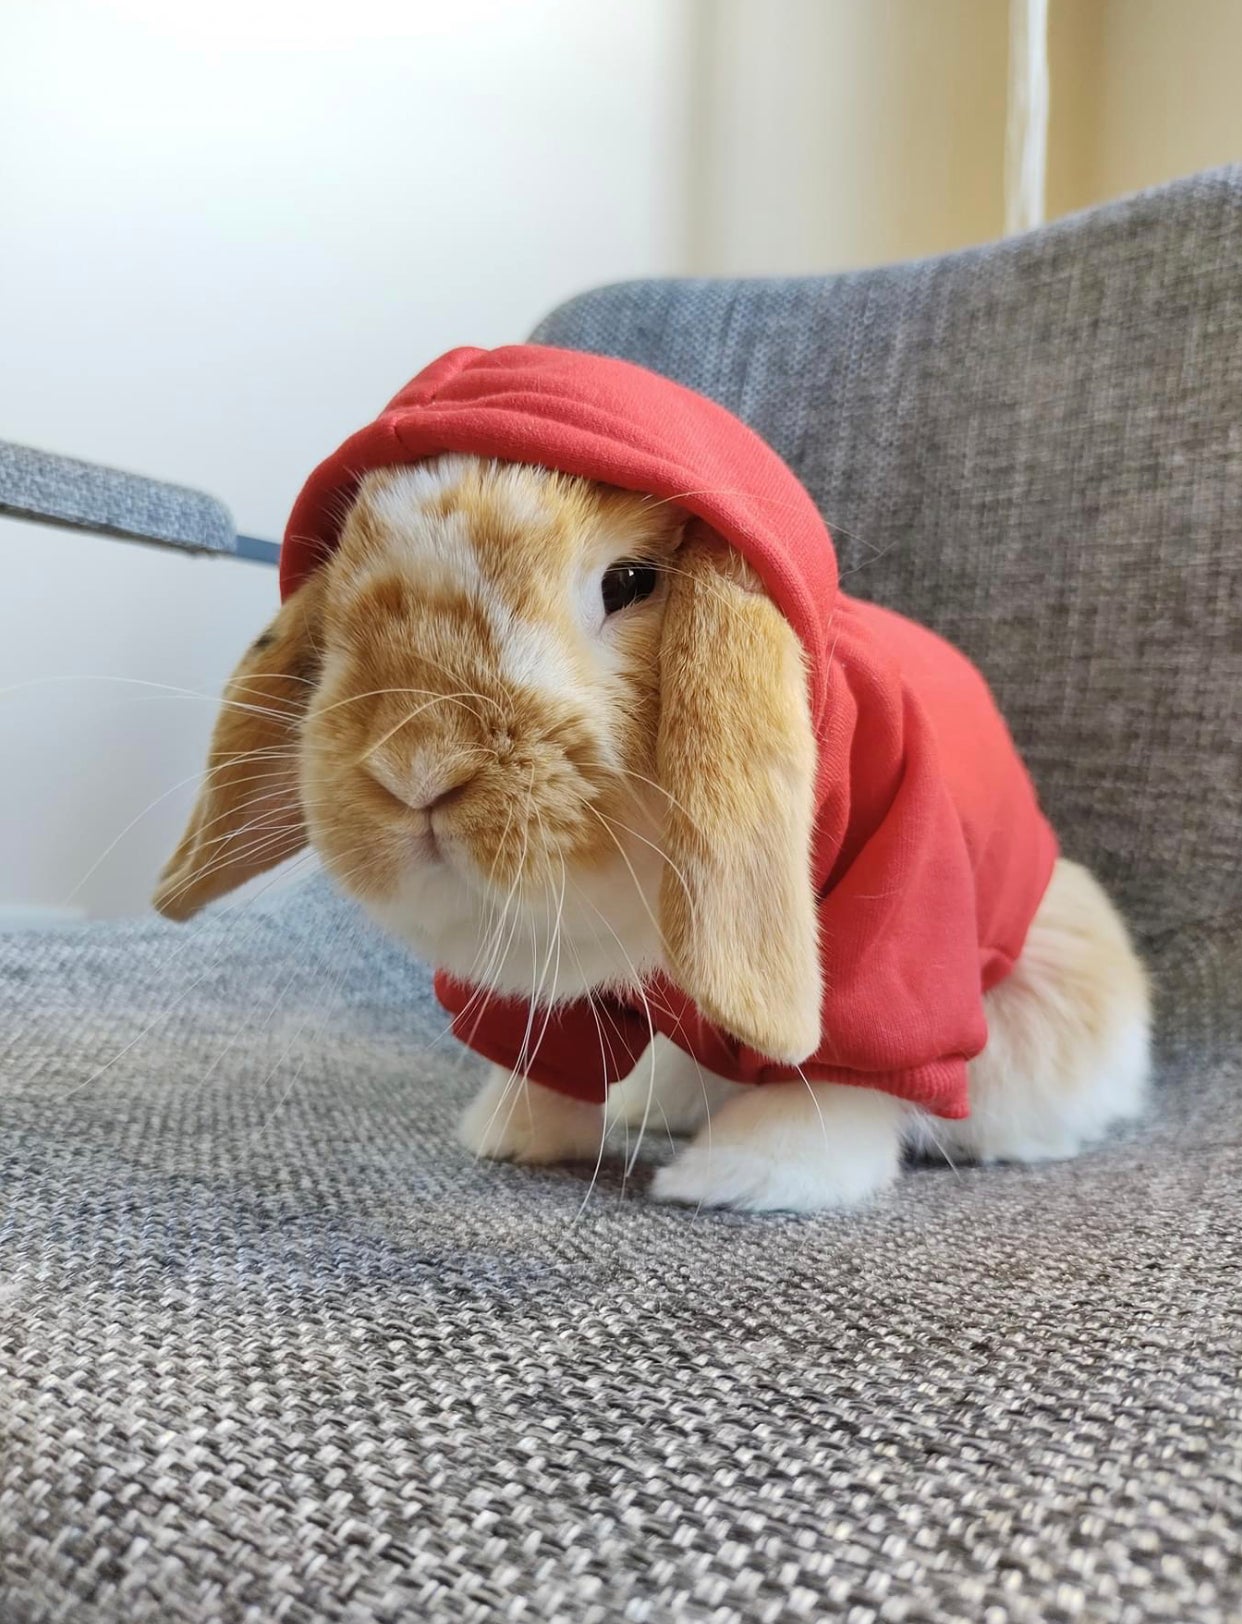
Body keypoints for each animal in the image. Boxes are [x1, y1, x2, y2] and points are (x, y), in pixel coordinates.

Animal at [155, 444, 1151, 1214]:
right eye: (345, 591)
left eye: (630, 581)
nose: (415, 765)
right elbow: (548, 1051)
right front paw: (512, 1133)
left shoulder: (900, 907)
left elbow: (849, 1061)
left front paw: (750, 1177)